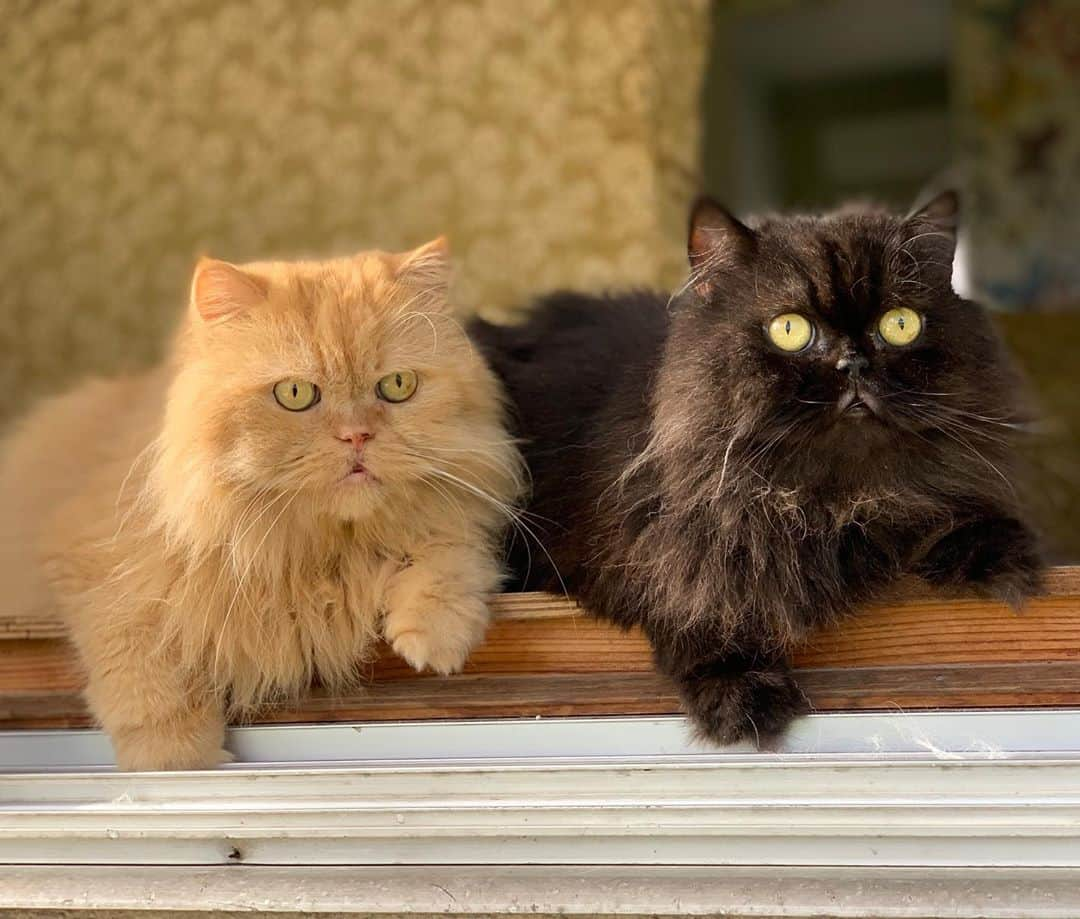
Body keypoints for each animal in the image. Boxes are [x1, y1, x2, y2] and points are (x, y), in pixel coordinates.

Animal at [0, 240, 522, 773]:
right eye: (295, 394)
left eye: (397, 385)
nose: (357, 435)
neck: (319, 554)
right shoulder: (88, 560)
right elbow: (141, 667)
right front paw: (180, 760)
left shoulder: (460, 519)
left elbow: (450, 555)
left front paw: (435, 636)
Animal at [475, 194, 1045, 747]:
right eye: (789, 330)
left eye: (899, 324)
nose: (854, 365)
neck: (832, 503)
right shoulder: (640, 546)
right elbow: (696, 600)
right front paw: (742, 694)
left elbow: (956, 518)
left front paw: (993, 557)